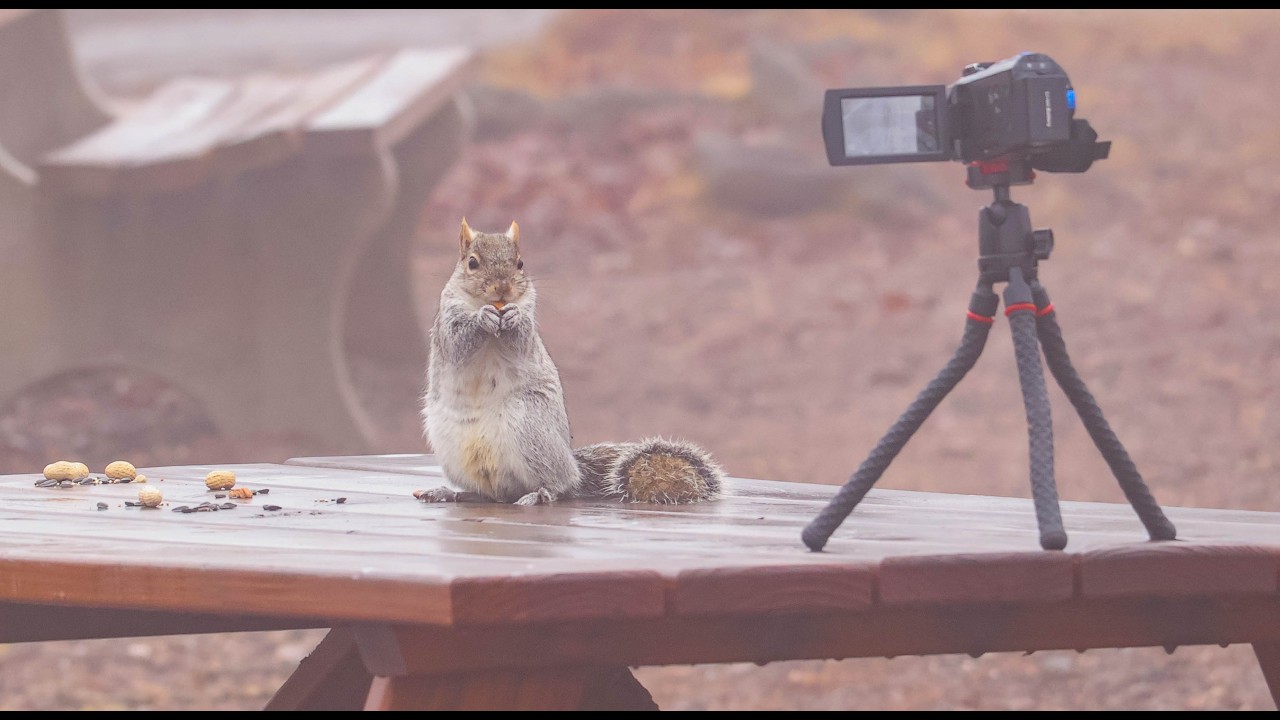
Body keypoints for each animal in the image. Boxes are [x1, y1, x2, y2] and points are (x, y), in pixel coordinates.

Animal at [417, 218, 724, 506]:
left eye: (520, 263)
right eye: (472, 263)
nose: (503, 288)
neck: (486, 306)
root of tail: (574, 468)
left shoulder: (529, 318)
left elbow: (522, 339)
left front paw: (514, 319)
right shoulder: (446, 321)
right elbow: (457, 343)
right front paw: (482, 319)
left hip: (530, 426)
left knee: (556, 486)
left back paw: (538, 494)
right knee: (492, 495)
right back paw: (452, 493)